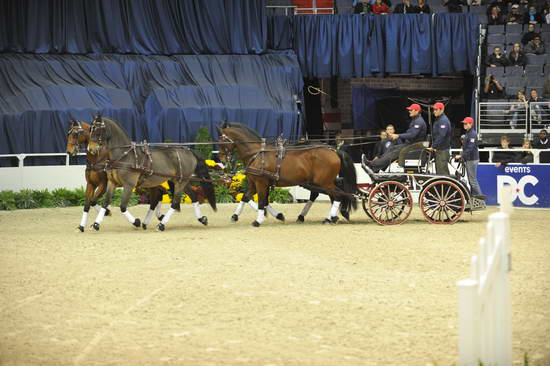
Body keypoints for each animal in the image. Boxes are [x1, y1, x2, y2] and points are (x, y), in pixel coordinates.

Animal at [86, 116, 218, 232]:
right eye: (90, 130)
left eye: (98, 130)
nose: (90, 148)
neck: (124, 156)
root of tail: (189, 151)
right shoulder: (112, 183)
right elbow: (105, 203)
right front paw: (96, 224)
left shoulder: (129, 185)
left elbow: (122, 206)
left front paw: (136, 222)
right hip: (181, 180)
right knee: (193, 196)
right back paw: (202, 219)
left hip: (181, 182)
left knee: (175, 202)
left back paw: (161, 225)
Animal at [218, 123, 360, 226]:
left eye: (222, 141)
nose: (222, 160)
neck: (257, 154)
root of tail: (334, 150)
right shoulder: (254, 182)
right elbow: (246, 197)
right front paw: (235, 216)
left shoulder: (261, 182)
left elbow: (261, 201)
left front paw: (258, 220)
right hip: (320, 182)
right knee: (331, 195)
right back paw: (330, 217)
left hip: (324, 182)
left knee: (337, 195)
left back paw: (331, 217)